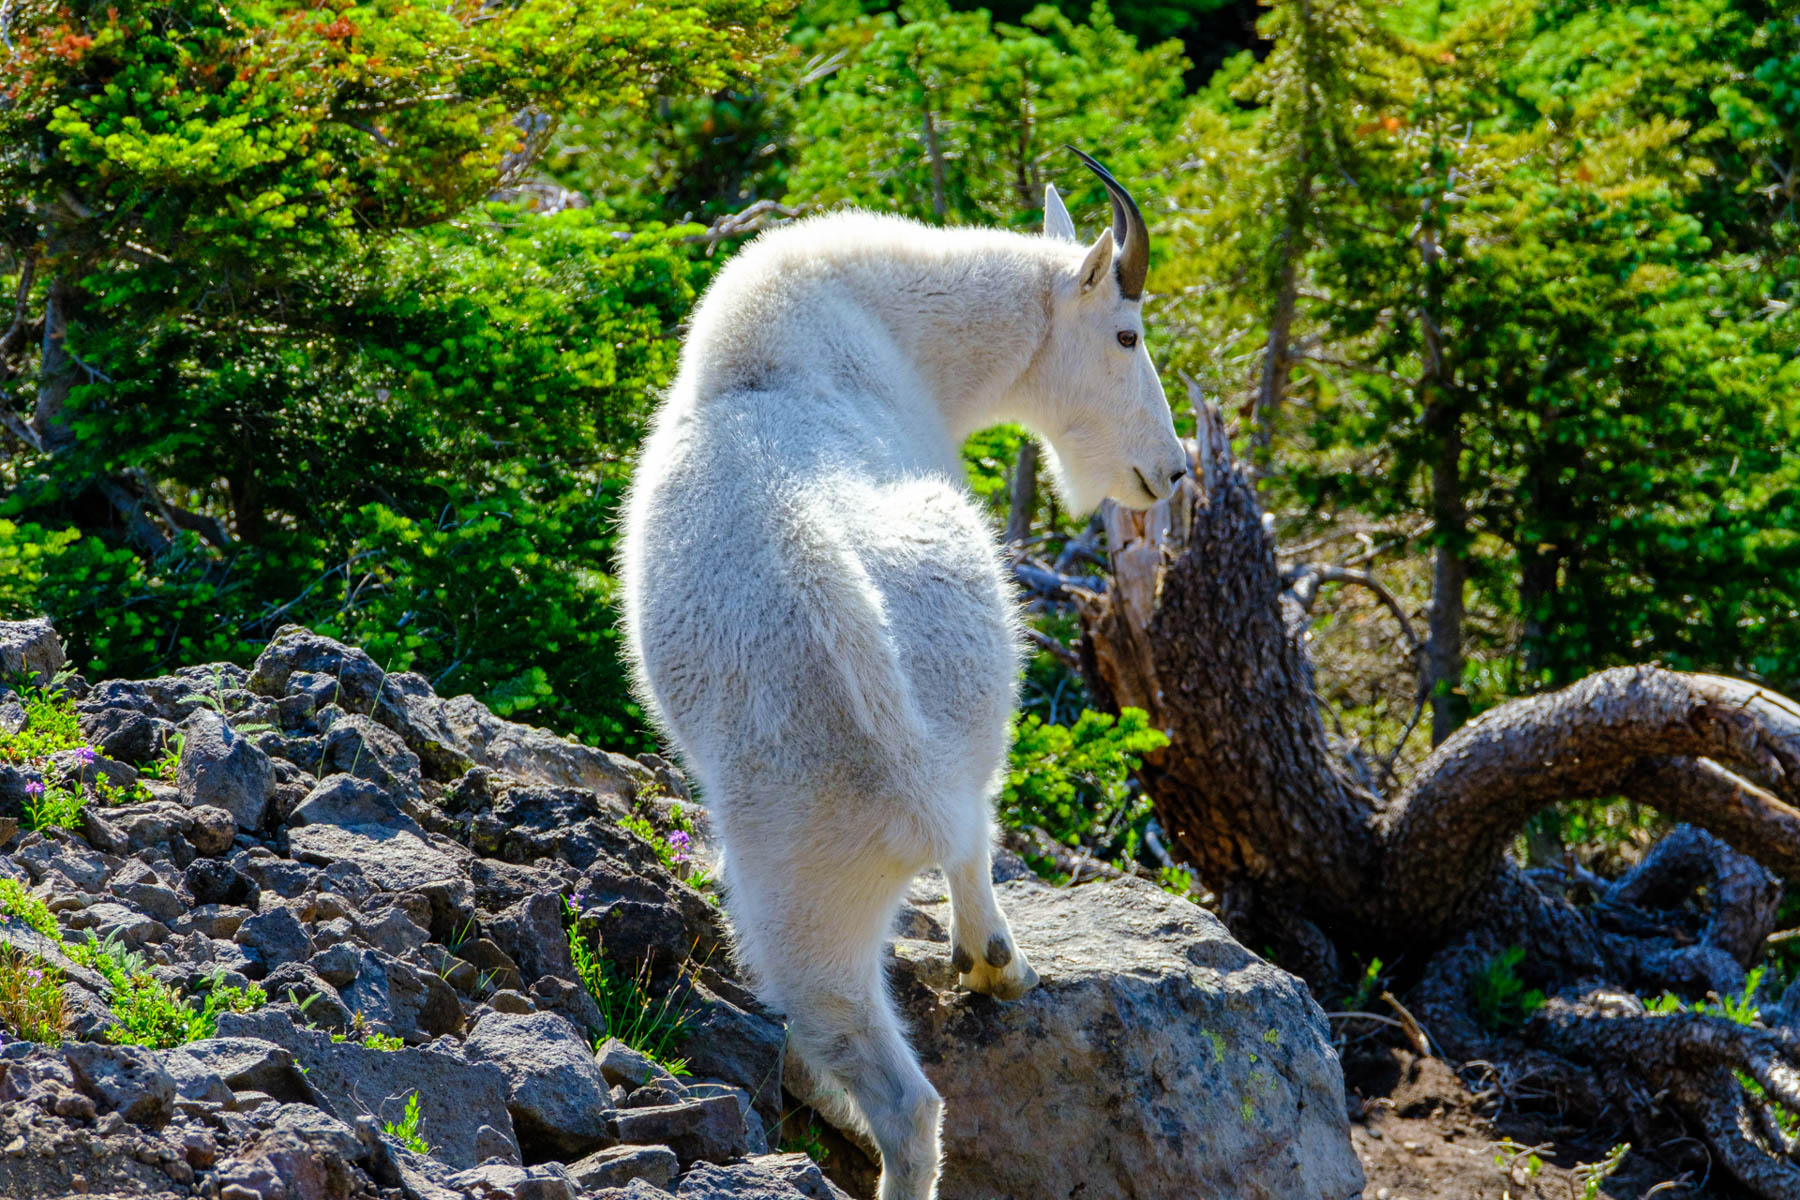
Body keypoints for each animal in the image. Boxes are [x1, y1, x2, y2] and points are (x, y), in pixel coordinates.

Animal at [622, 152, 1195, 1200]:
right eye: (1127, 333)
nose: (1169, 471)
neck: (883, 327)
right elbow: (985, 839)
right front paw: (998, 960)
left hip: (810, 895)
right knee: (917, 1063)